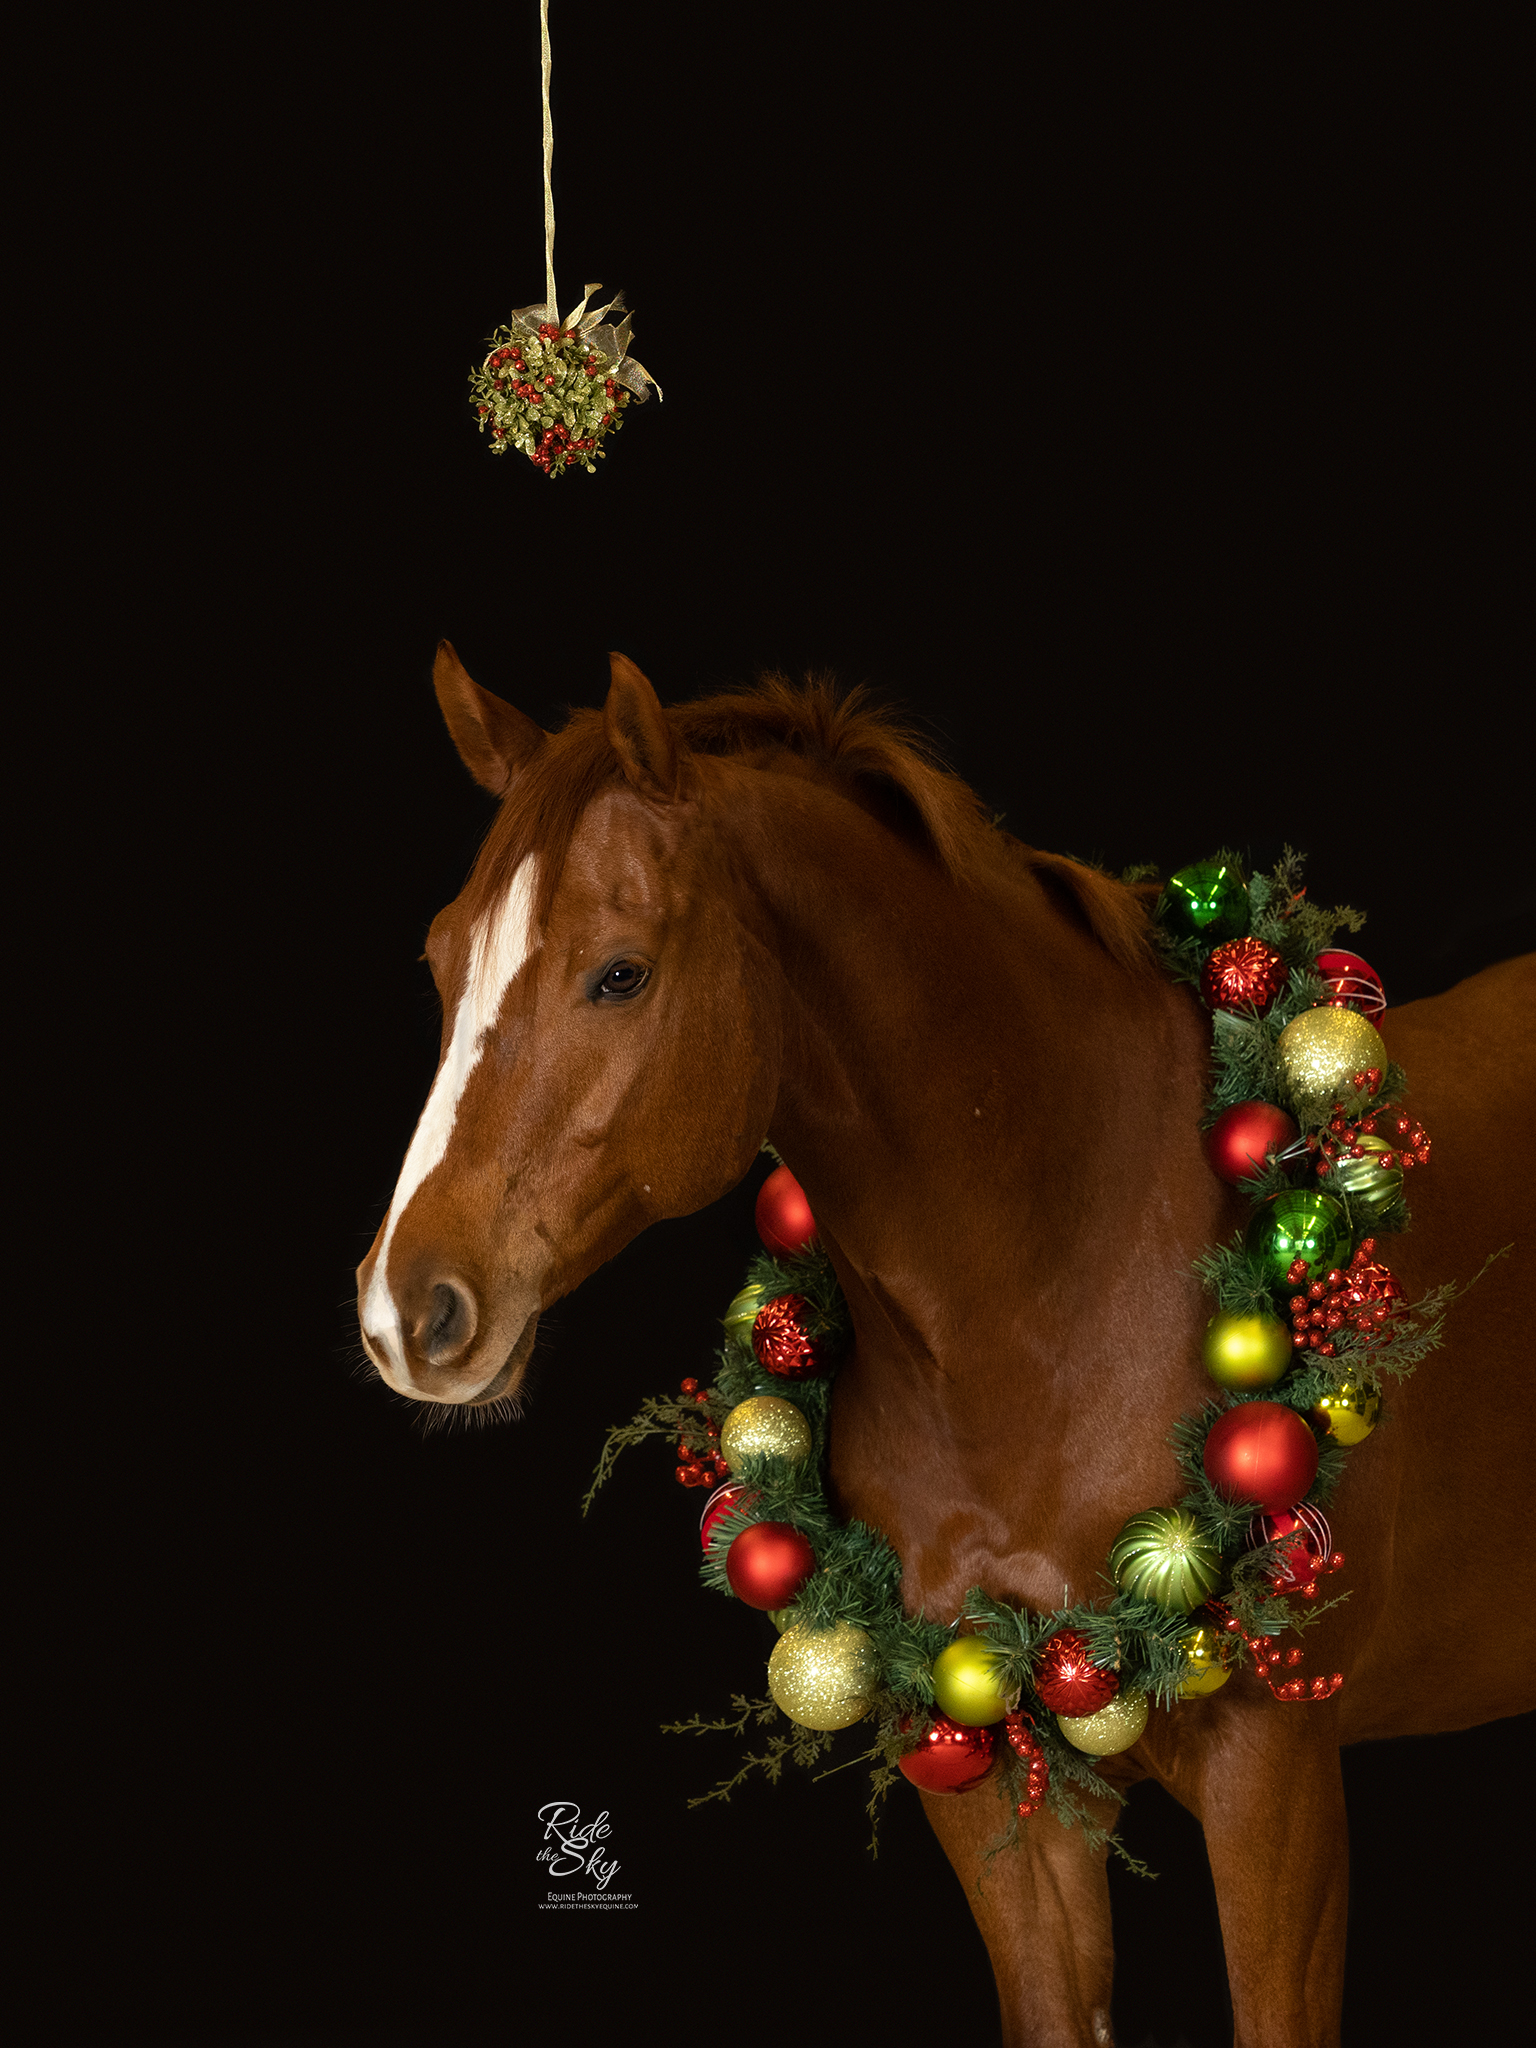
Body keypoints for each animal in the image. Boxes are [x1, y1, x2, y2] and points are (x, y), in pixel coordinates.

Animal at [358, 643, 1531, 2048]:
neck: (1060, 1282)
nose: (406, 1308)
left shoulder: (1276, 1774)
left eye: (621, 972)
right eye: (440, 962)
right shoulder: (986, 1777)